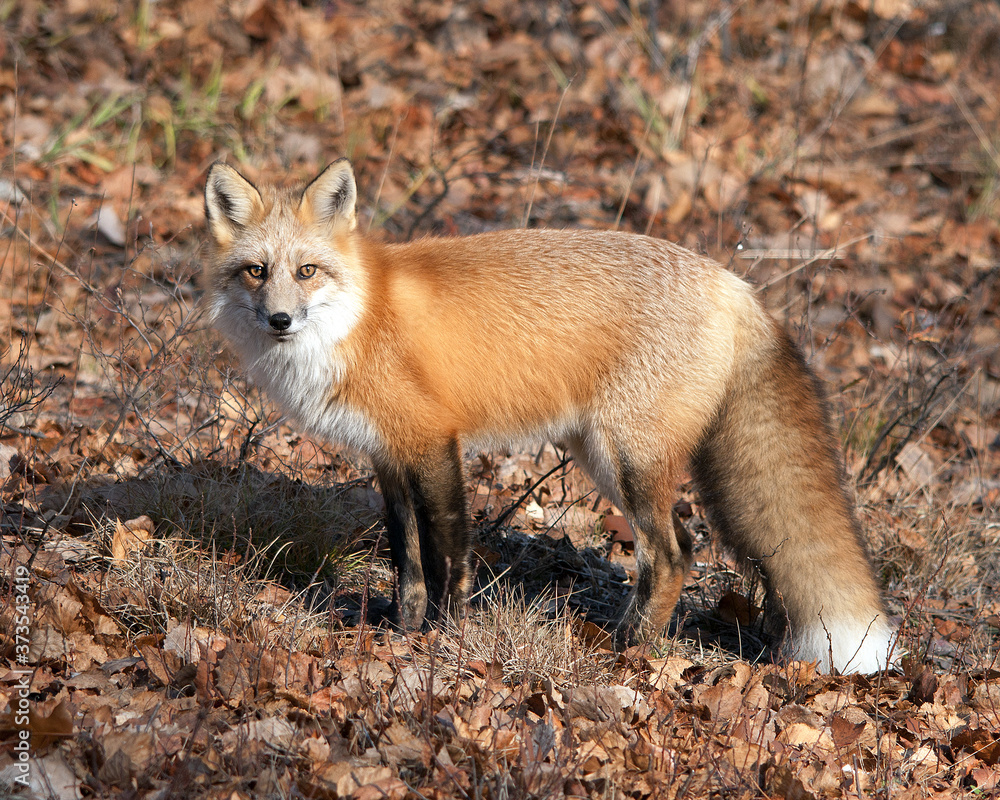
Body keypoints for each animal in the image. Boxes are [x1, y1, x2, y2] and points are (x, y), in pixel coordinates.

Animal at [202, 159, 895, 673]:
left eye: (307, 271)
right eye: (257, 271)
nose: (280, 320)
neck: (360, 321)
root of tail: (735, 284)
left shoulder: (435, 442)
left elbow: (447, 552)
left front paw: (445, 638)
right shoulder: (388, 454)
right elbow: (407, 562)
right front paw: (401, 633)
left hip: (628, 458)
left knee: (672, 554)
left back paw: (628, 652)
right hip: (601, 455)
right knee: (685, 546)